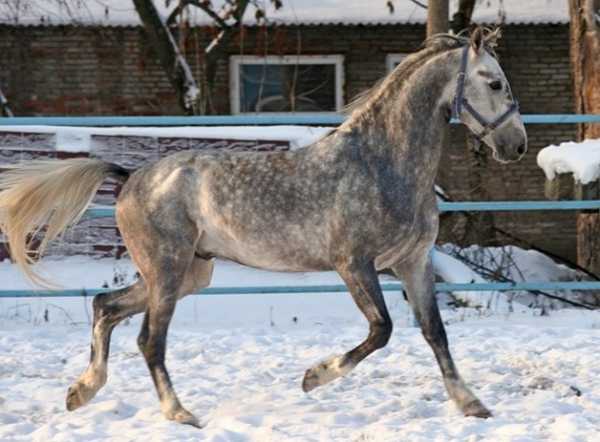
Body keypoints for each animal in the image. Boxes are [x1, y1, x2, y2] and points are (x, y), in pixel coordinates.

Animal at [0, 26, 524, 424]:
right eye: (494, 83)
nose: (516, 146)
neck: (382, 163)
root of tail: (131, 178)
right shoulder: (354, 264)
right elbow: (382, 330)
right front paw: (314, 377)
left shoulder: (414, 262)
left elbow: (435, 333)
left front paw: (472, 404)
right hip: (168, 272)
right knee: (150, 340)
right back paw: (179, 413)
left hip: (189, 273)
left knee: (106, 307)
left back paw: (82, 391)